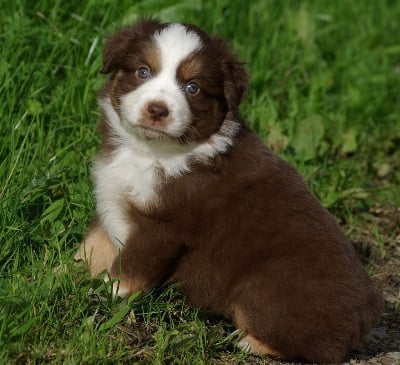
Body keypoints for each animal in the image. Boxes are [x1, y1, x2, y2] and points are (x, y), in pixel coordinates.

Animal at [76, 19, 384, 364]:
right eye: (143, 71)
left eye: (193, 87)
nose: (157, 110)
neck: (150, 152)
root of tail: (367, 316)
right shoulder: (110, 199)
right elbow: (93, 246)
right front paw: (60, 276)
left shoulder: (163, 227)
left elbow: (130, 266)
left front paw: (108, 291)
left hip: (266, 286)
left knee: (319, 348)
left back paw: (249, 342)